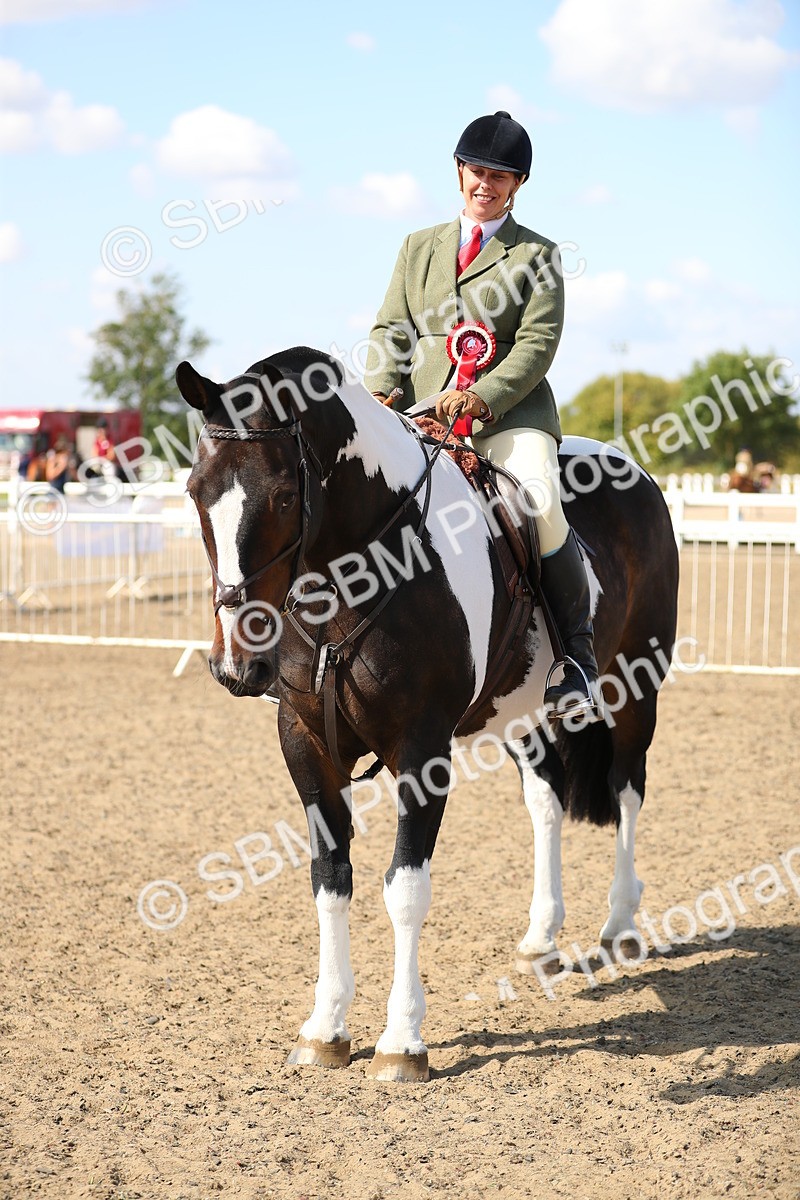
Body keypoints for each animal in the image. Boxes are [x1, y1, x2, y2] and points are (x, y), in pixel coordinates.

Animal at [176, 346, 679, 1083]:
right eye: (196, 492)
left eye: (285, 497)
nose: (238, 666)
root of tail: (629, 468)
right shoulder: (304, 742)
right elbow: (330, 881)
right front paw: (325, 1029)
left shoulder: (422, 750)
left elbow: (405, 889)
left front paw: (401, 1042)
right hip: (521, 713)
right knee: (547, 803)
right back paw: (541, 935)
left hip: (635, 688)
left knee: (626, 791)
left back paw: (620, 927)